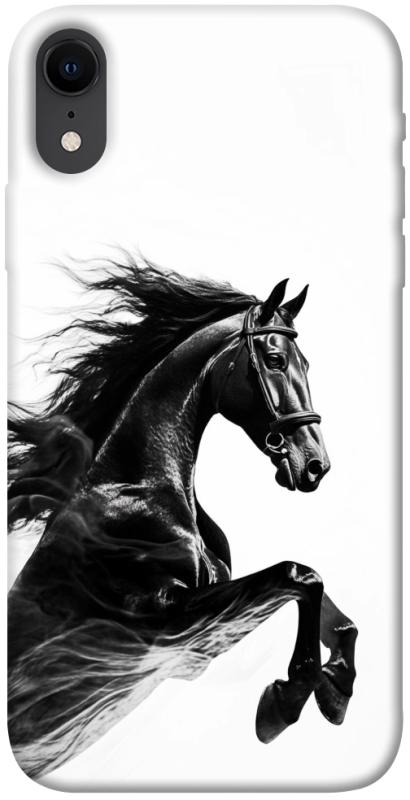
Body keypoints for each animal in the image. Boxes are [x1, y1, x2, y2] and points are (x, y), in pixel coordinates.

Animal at [8, 259, 358, 779]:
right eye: (275, 360)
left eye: (308, 363)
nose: (315, 465)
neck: (139, 490)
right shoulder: (165, 622)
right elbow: (300, 576)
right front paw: (284, 704)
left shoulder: (198, 637)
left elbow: (325, 602)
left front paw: (336, 691)